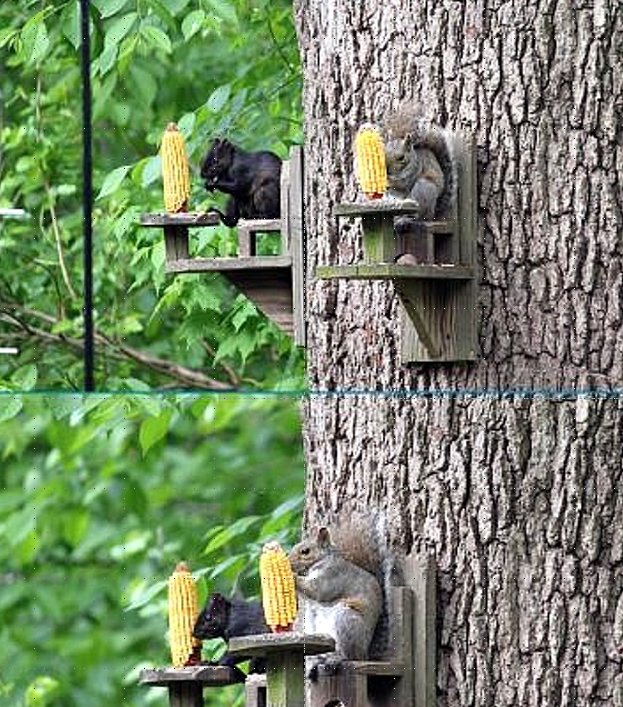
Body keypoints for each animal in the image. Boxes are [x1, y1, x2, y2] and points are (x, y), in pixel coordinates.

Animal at [287, 514, 392, 679]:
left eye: (305, 551)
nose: (288, 561)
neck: (322, 561)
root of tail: (365, 654)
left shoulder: (333, 576)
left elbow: (318, 590)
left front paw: (291, 576)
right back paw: (314, 662)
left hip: (346, 620)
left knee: (349, 655)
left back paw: (336, 658)